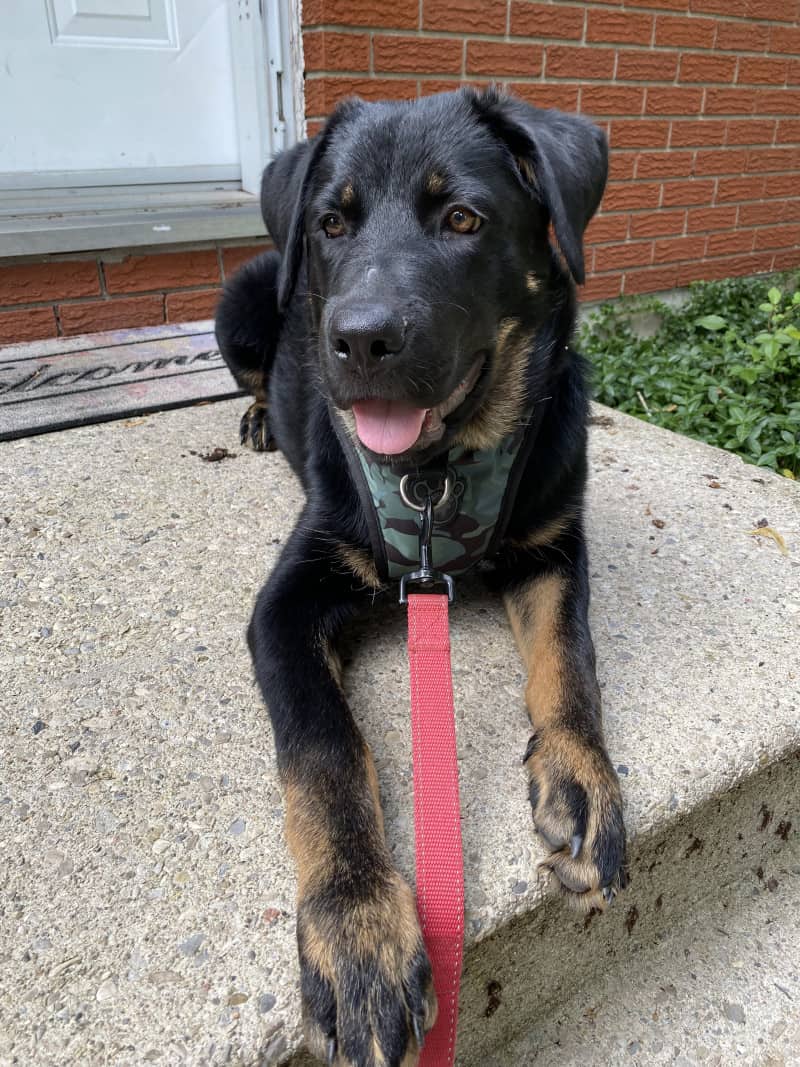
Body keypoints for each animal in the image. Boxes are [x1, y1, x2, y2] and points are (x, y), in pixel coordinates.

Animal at [216, 89, 631, 1067]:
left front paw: (583, 774)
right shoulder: (285, 604)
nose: (361, 339)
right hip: (242, 301)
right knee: (250, 373)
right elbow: (324, 750)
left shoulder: (556, 546)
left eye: (463, 220)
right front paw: (358, 930)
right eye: (332, 223)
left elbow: (571, 658)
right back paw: (256, 417)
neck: (440, 474)